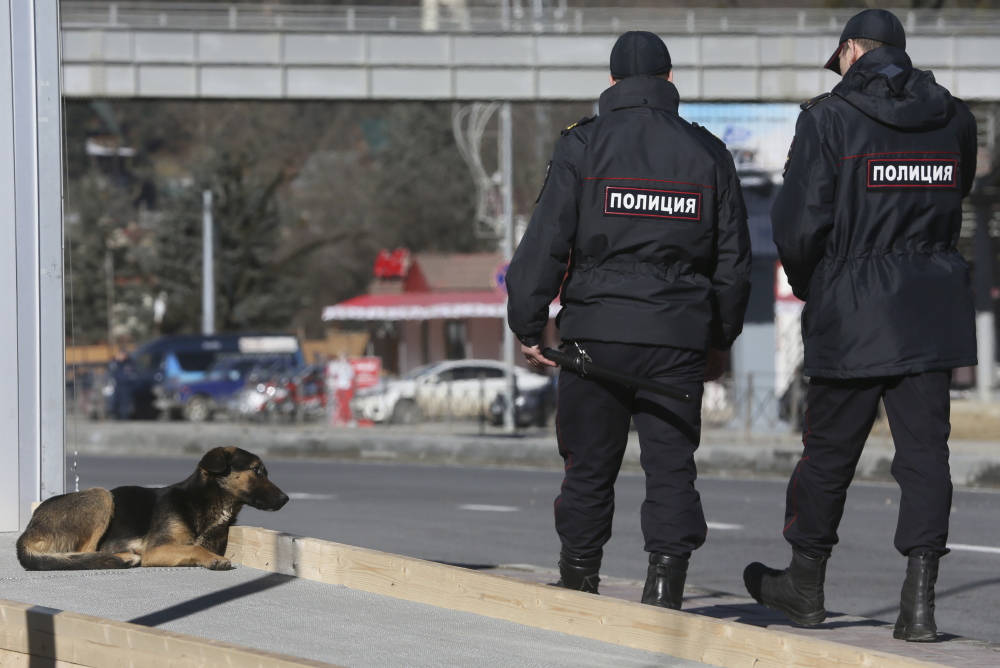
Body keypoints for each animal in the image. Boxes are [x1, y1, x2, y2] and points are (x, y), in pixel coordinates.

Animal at [16, 446, 290, 572]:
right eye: (256, 470)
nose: (286, 498)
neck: (203, 502)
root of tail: (28, 532)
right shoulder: (157, 549)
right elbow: (194, 548)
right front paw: (213, 559)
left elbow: (192, 548)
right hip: (101, 495)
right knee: (86, 552)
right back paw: (124, 557)